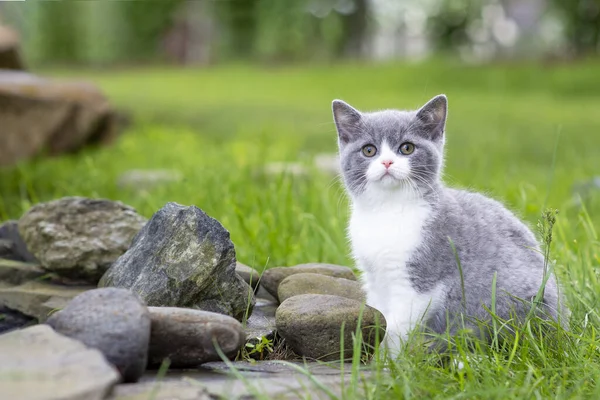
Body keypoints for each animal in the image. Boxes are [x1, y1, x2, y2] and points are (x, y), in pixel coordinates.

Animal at [332, 94, 568, 354]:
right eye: (369, 150)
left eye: (407, 148)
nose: (386, 162)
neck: (388, 210)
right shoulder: (374, 277)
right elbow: (379, 313)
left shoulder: (421, 279)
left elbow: (397, 326)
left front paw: (391, 360)